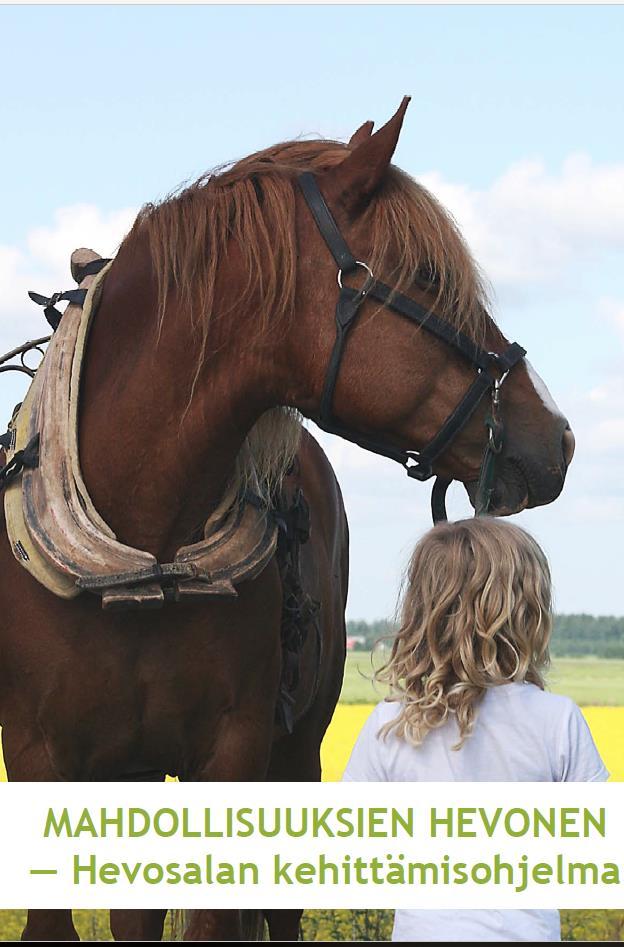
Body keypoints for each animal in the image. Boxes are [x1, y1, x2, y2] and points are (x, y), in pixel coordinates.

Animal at [1, 100, 576, 944]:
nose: (556, 439)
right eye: (429, 277)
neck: (141, 557)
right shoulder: (43, 761)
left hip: (293, 751)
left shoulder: (236, 758)